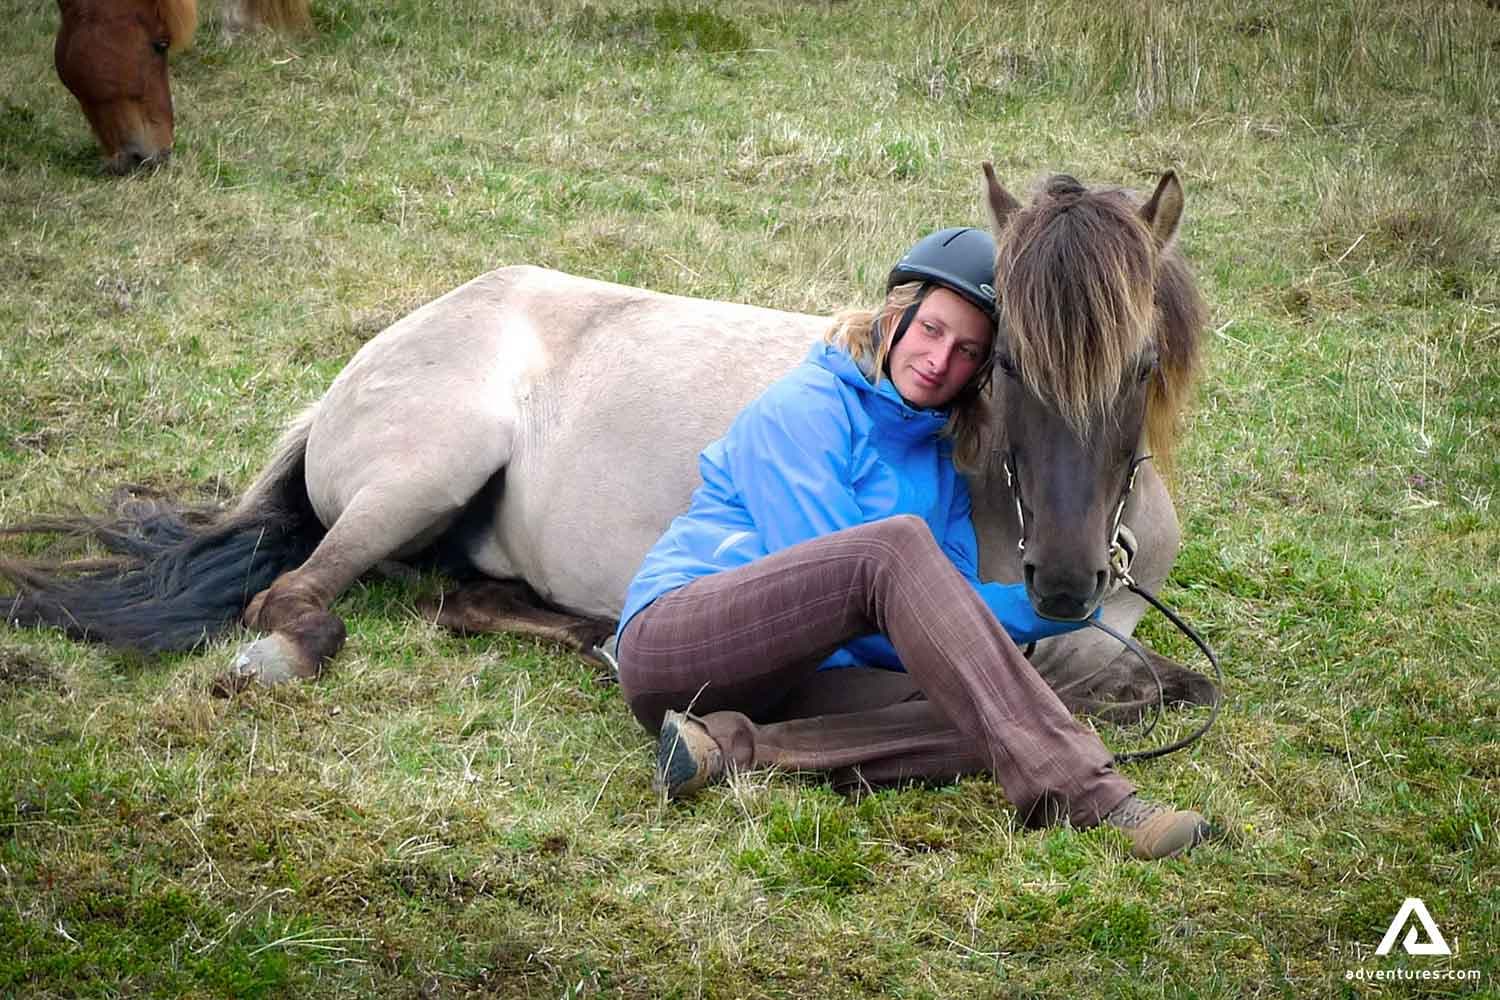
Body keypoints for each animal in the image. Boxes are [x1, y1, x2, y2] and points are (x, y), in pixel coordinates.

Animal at [0, 166, 1218, 722]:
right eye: (1007, 362)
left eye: (1143, 363)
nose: (1063, 581)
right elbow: (1101, 675)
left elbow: (1166, 675)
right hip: (424, 472)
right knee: (295, 596)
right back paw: (284, 652)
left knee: (463, 598)